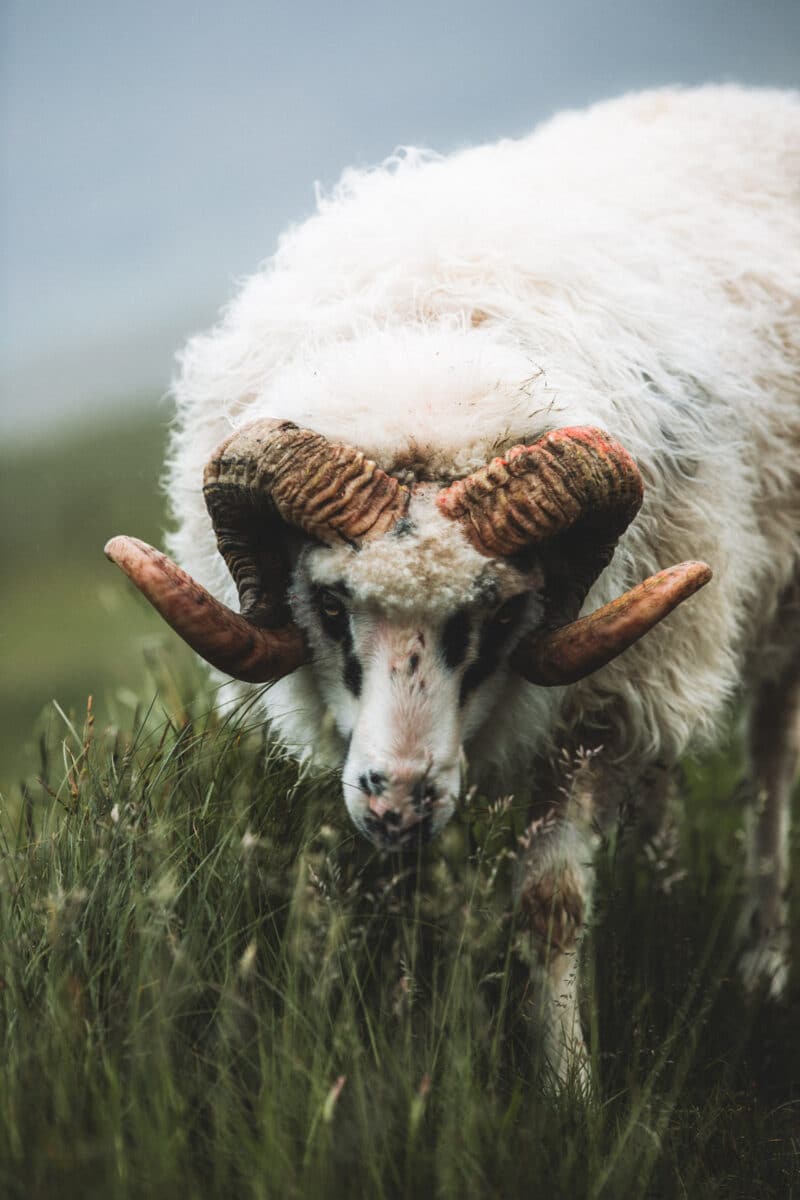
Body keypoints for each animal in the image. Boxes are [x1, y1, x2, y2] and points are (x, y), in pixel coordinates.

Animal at [106, 82, 800, 1080]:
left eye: (504, 614)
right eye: (327, 603)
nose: (400, 803)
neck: (431, 358)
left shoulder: (591, 712)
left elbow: (551, 904)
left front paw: (568, 1084)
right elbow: (404, 900)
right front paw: (408, 1046)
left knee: (773, 757)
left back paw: (764, 956)